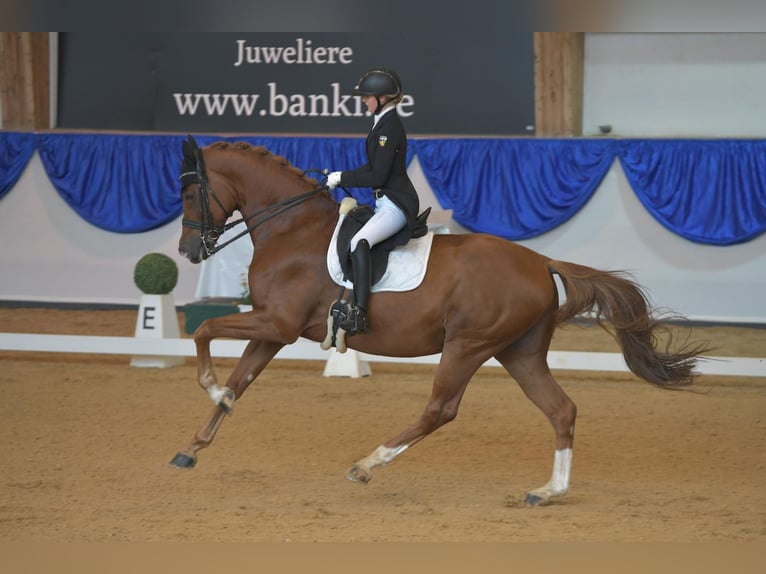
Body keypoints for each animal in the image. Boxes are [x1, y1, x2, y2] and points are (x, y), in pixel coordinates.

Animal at [171, 137, 712, 506]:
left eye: (190, 194)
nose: (189, 251)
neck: (291, 230)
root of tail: (541, 262)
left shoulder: (276, 324)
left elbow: (204, 332)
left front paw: (211, 388)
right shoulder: (273, 331)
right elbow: (241, 379)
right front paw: (193, 447)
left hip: (468, 346)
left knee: (441, 409)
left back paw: (367, 464)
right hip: (518, 351)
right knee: (561, 410)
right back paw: (548, 491)